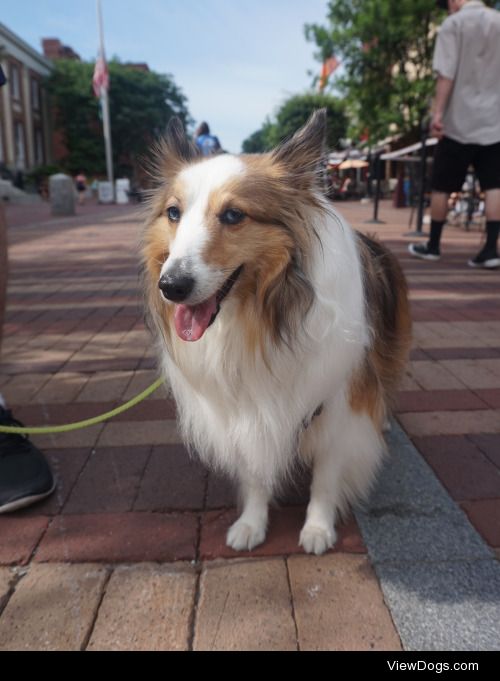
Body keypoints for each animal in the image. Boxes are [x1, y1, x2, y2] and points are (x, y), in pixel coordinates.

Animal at [142, 110, 410, 552]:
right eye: (174, 213)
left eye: (234, 215)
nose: (171, 287)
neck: (259, 318)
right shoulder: (247, 407)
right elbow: (255, 473)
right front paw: (251, 523)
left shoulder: (337, 406)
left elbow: (326, 477)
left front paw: (318, 529)